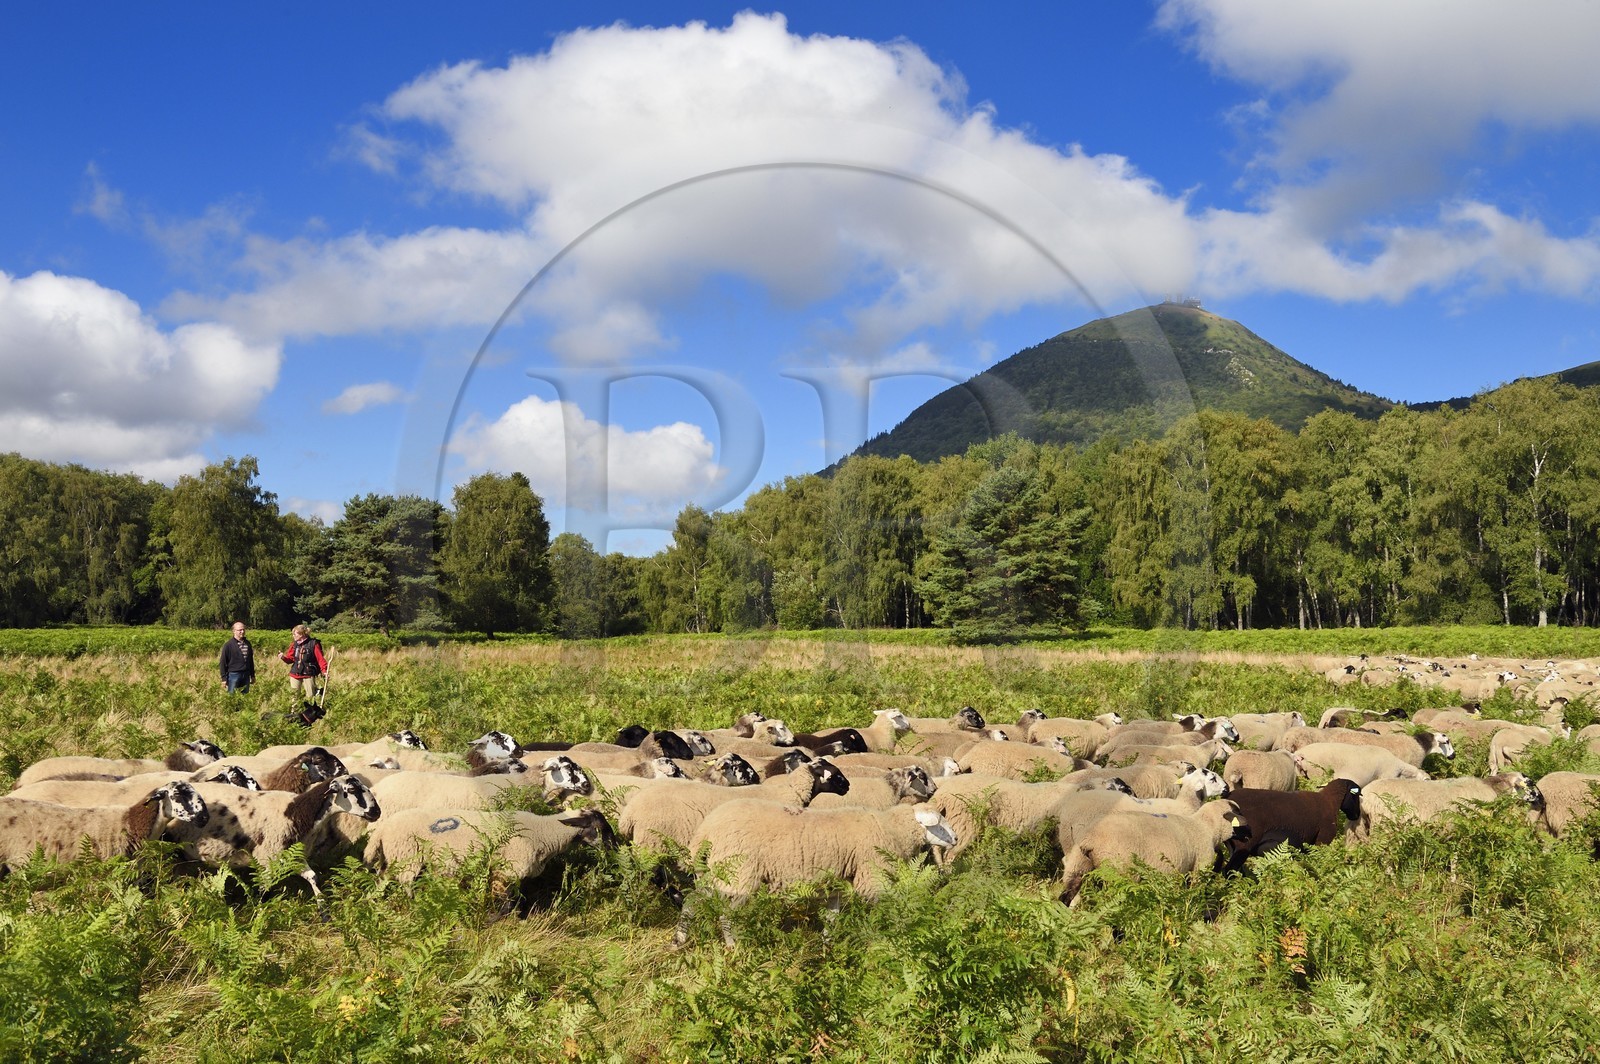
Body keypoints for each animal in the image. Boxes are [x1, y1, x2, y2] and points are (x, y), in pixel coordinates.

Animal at [1060, 800, 1247, 905]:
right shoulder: (1201, 865)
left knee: (1067, 893)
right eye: (1239, 814)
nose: (1249, 837)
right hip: (1121, 871)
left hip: (1078, 862)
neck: (1206, 826)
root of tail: (1091, 839)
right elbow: (1195, 891)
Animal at [1219, 779, 1362, 873]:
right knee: (1229, 871)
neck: (1329, 802)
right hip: (1244, 845)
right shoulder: (1322, 841)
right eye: (1356, 796)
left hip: (1232, 845)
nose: (1356, 815)